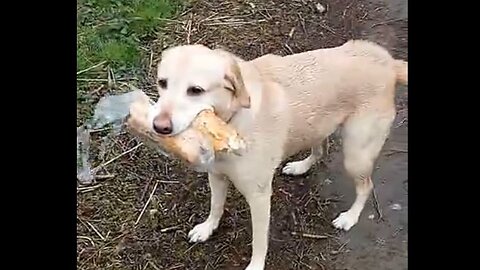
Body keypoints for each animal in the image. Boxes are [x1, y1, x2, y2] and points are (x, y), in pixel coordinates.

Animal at [148, 40, 406, 270]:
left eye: (195, 90)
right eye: (162, 83)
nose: (159, 126)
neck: (232, 119)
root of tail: (389, 63)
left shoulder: (259, 197)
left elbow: (259, 241)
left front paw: (255, 266)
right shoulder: (217, 176)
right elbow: (216, 206)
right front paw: (207, 228)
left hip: (355, 155)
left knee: (366, 186)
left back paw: (349, 218)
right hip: (317, 128)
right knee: (320, 151)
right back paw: (301, 166)